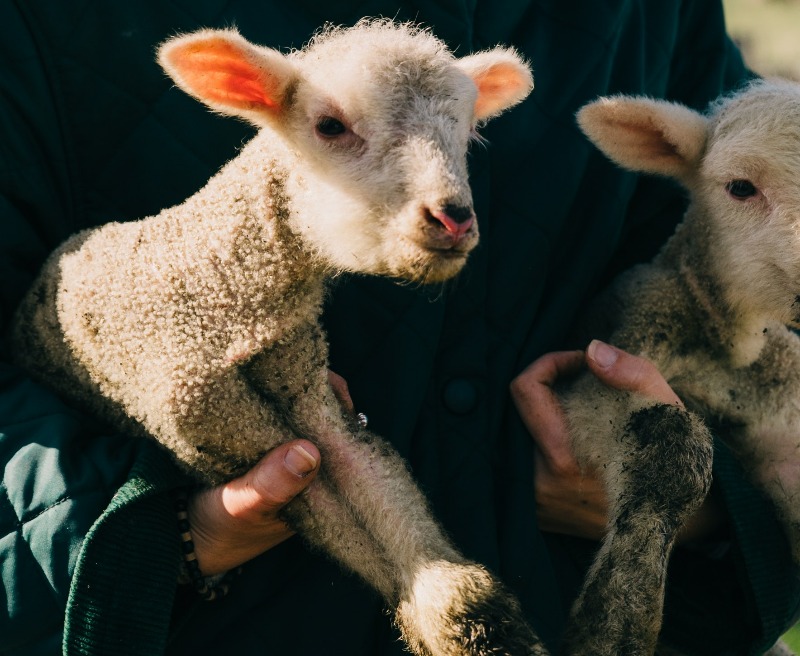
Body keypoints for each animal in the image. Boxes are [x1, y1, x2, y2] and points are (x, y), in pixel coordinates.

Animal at [10, 20, 552, 656]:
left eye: (467, 131)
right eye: (330, 126)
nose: (453, 218)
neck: (221, 291)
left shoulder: (306, 383)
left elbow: (374, 477)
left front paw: (474, 624)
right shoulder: (211, 423)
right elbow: (326, 511)